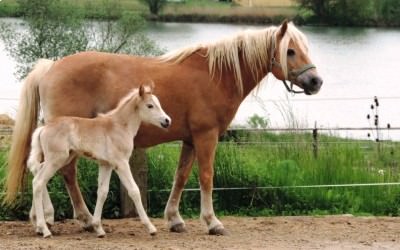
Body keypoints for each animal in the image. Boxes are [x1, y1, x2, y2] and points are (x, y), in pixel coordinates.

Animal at [5, 20, 322, 235]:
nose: (316, 81)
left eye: (305, 48)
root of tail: (51, 67)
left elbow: (180, 177)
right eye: (290, 51)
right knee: (64, 174)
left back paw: (44, 219)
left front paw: (175, 219)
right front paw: (212, 222)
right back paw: (77, 219)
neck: (216, 75)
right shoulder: (206, 137)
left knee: (44, 172)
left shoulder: (190, 140)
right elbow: (206, 177)